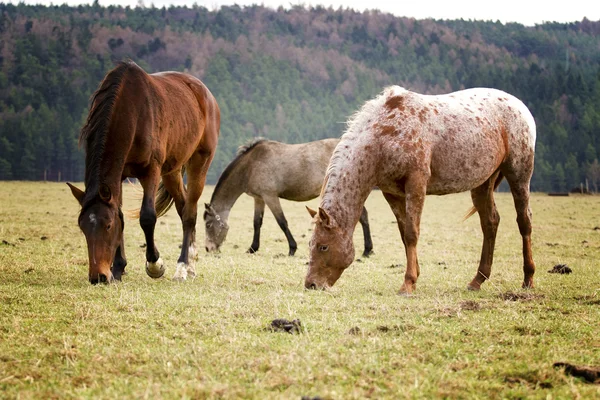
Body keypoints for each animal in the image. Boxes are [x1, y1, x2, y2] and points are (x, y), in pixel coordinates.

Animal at [67, 60, 220, 284]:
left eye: (107, 226)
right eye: (83, 227)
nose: (98, 277)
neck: (132, 112)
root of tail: (206, 95)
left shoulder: (151, 171)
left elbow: (147, 217)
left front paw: (155, 264)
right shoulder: (119, 176)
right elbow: (120, 214)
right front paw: (118, 268)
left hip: (200, 162)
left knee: (189, 213)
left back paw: (182, 267)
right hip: (172, 171)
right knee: (183, 208)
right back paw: (190, 264)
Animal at [206, 138, 376, 256]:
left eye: (207, 224)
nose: (208, 248)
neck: (251, 165)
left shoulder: (270, 196)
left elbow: (282, 222)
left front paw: (292, 248)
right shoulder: (259, 198)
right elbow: (257, 223)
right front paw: (252, 248)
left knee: (363, 216)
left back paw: (367, 250)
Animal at [308, 86, 536, 294]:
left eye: (323, 246)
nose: (310, 284)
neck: (384, 135)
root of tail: (520, 106)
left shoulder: (416, 183)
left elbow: (412, 233)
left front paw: (408, 283)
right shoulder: (392, 193)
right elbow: (404, 234)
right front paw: (415, 276)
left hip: (519, 174)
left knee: (524, 222)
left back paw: (528, 279)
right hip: (483, 184)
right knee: (490, 223)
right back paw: (477, 280)